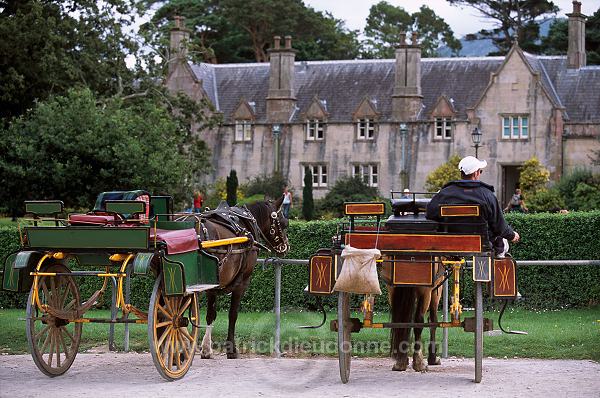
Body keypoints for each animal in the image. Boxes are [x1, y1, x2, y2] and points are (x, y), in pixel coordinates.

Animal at [185, 197, 288, 360]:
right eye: (284, 223)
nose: (286, 246)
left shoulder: (212, 286)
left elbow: (210, 314)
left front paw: (206, 348)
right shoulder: (242, 283)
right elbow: (232, 314)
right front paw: (231, 349)